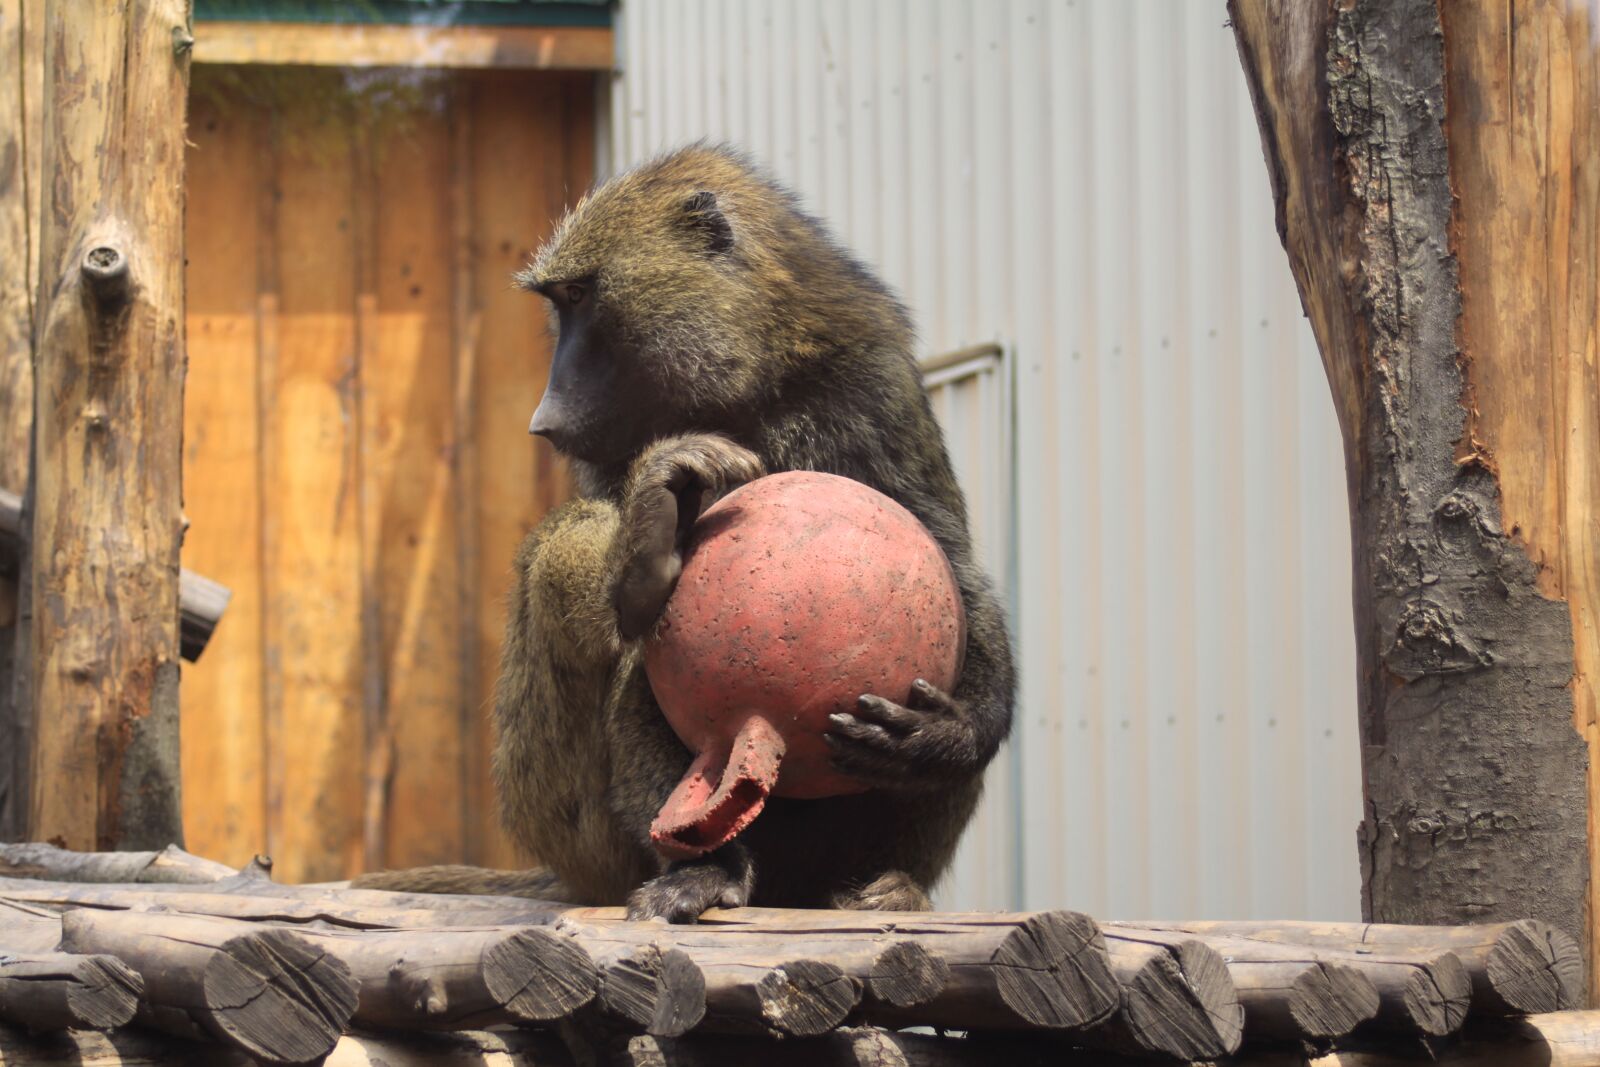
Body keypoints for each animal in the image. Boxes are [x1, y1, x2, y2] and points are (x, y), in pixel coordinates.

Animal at [353, 143, 1015, 922]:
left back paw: (888, 882)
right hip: (579, 834)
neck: (749, 379)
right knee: (580, 566)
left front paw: (955, 733)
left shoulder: (873, 390)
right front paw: (645, 543)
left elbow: (950, 556)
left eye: (579, 297)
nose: (545, 417)